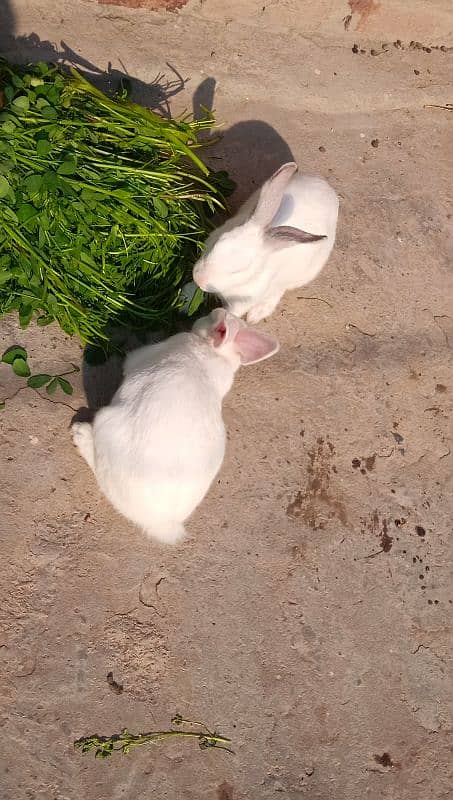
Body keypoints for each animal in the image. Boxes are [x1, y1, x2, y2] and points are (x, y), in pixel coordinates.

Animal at [71, 306, 278, 544]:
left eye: (211, 317)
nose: (214, 309)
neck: (214, 351)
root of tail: (162, 524)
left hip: (105, 423)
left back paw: (80, 434)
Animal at [192, 161, 338, 324]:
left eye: (241, 269)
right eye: (215, 243)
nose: (199, 279)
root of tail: (327, 187)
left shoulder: (243, 301)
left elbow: (232, 313)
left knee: (279, 289)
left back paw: (257, 314)